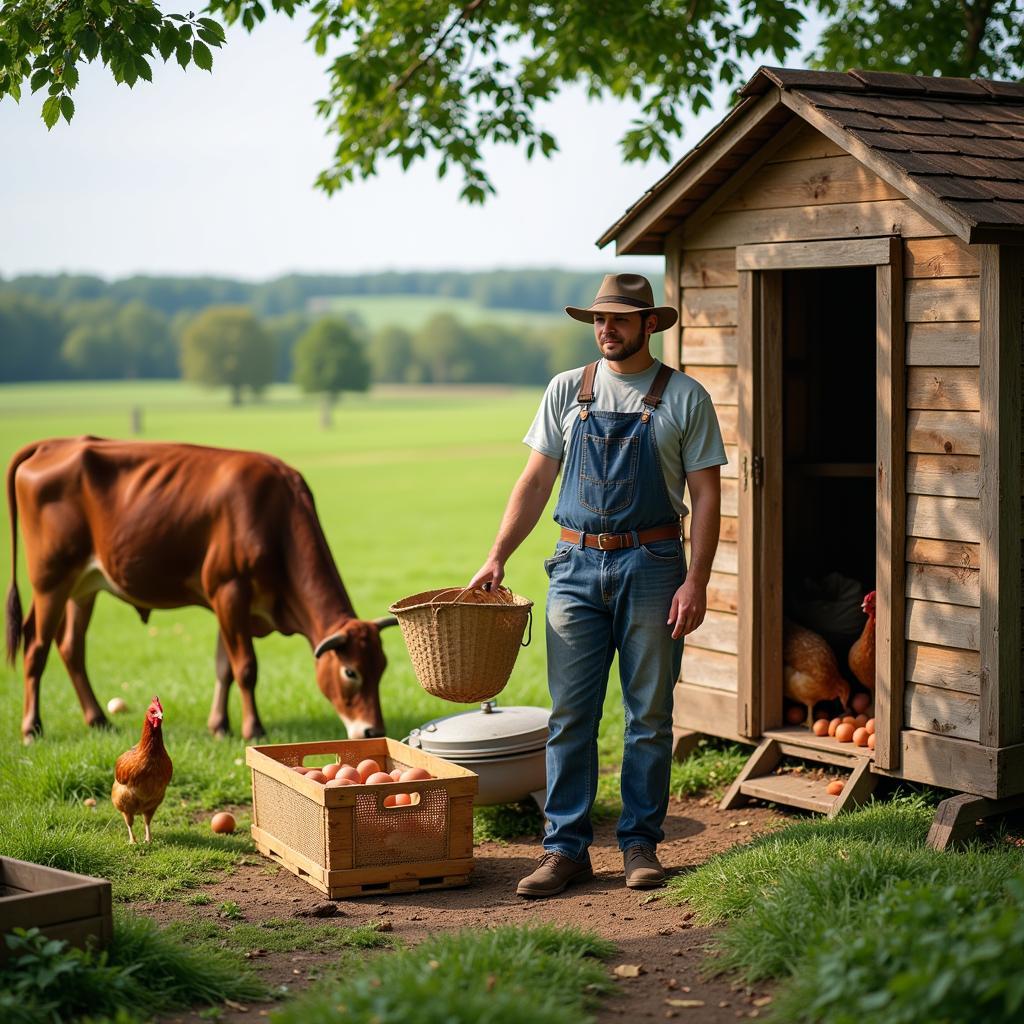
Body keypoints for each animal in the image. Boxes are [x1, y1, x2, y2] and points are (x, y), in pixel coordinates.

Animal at [7, 436, 399, 741]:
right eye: (350, 672)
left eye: (381, 667)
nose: (373, 731)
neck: (275, 517)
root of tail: (55, 444)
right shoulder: (229, 591)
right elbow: (245, 667)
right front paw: (253, 729)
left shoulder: (230, 605)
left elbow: (224, 666)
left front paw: (220, 725)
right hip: (51, 581)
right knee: (36, 647)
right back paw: (31, 728)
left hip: (84, 586)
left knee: (71, 647)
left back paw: (98, 720)